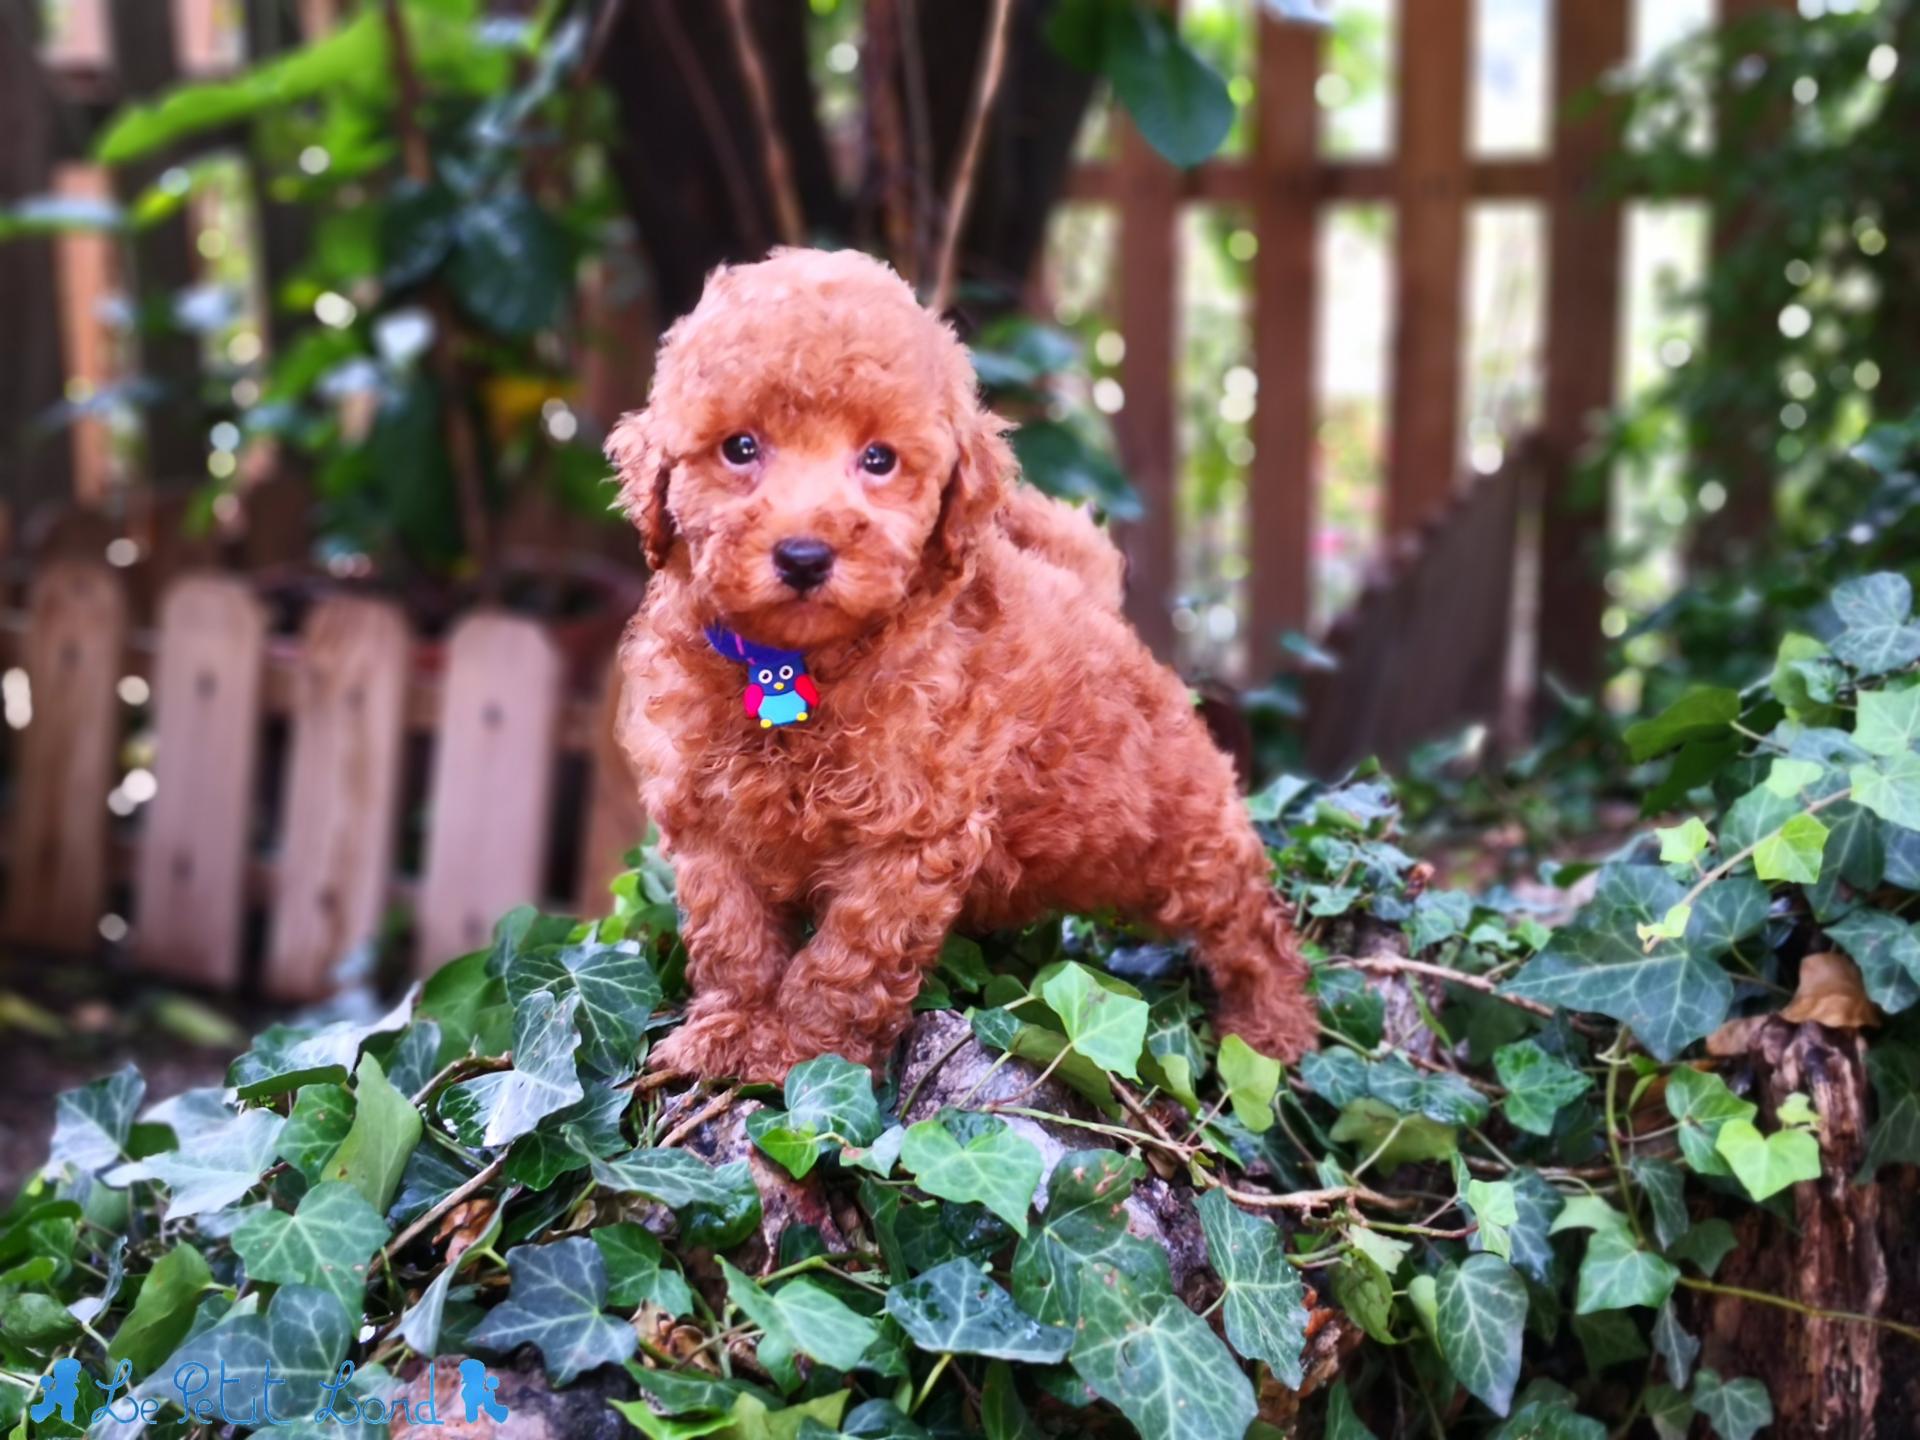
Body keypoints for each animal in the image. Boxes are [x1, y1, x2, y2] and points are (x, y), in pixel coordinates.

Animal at [606, 247, 1313, 1082]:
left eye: (878, 460)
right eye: (739, 448)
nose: (805, 555)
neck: (792, 666)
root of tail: (1092, 598)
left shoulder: (906, 833)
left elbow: (846, 959)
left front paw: (800, 1054)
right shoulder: (707, 824)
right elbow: (732, 938)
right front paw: (725, 1030)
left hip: (1182, 825)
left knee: (1247, 919)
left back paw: (1272, 1027)